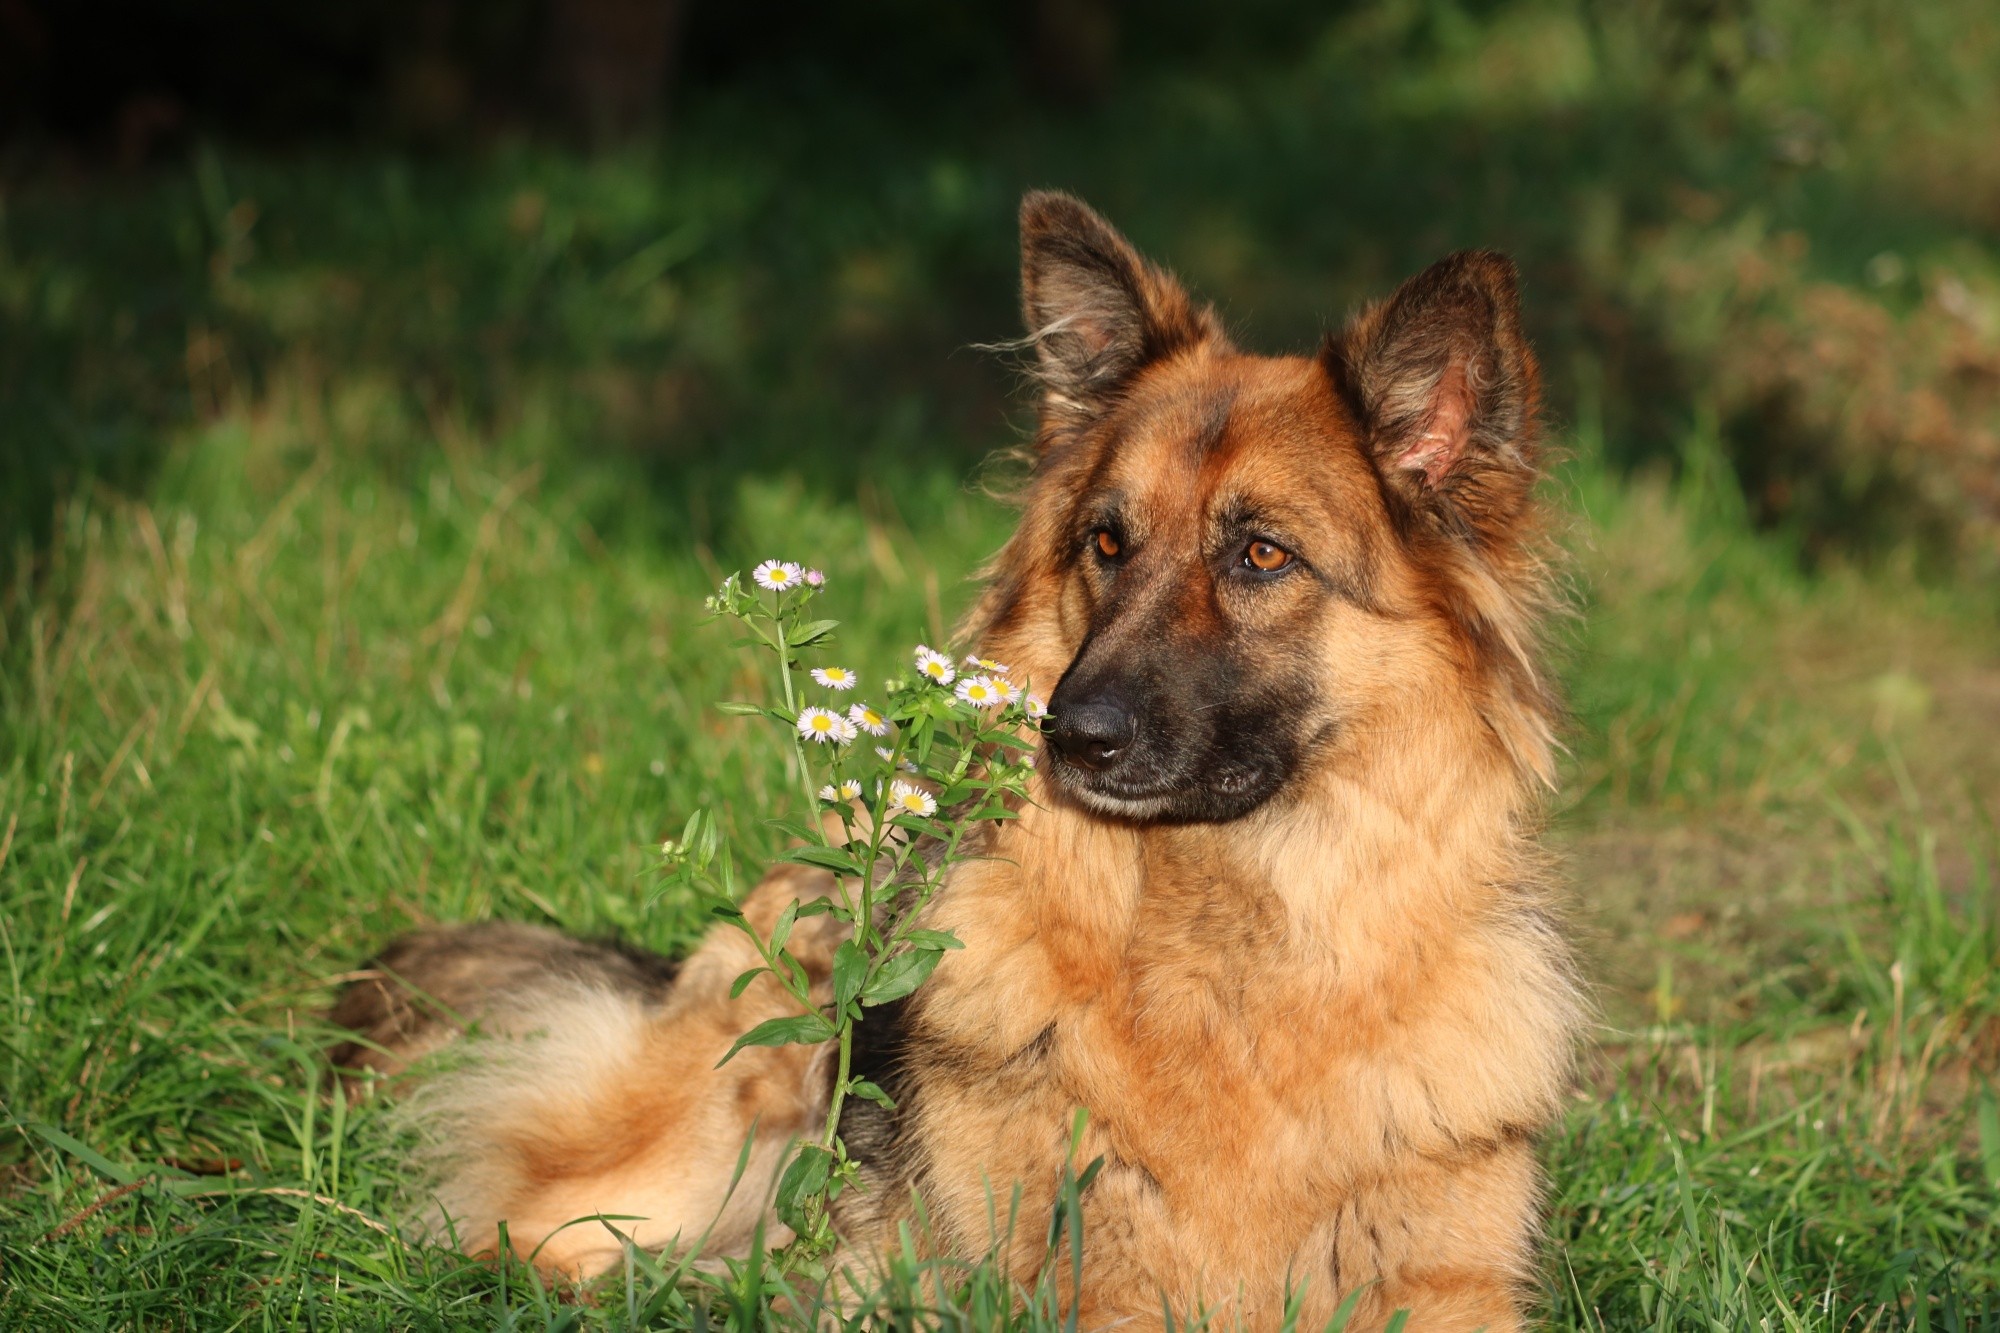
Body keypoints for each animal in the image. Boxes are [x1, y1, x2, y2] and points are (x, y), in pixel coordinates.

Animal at [336, 192, 1584, 1320]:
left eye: (1262, 555)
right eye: (1105, 542)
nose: (1069, 733)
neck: (1231, 948)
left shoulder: (1448, 1280)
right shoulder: (1084, 1286)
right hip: (724, 1113)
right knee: (514, 1232)